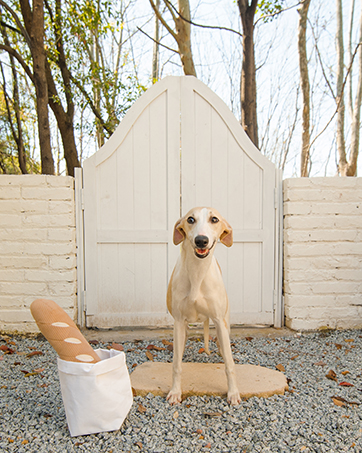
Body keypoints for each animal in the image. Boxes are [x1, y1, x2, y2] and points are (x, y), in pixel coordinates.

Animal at [166, 207, 240, 404]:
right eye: (190, 219)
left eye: (214, 219)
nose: (201, 240)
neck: (197, 273)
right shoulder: (178, 322)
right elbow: (176, 365)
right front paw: (175, 392)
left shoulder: (219, 321)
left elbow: (230, 365)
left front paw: (233, 393)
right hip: (183, 328)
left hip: (225, 324)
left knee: (223, 346)